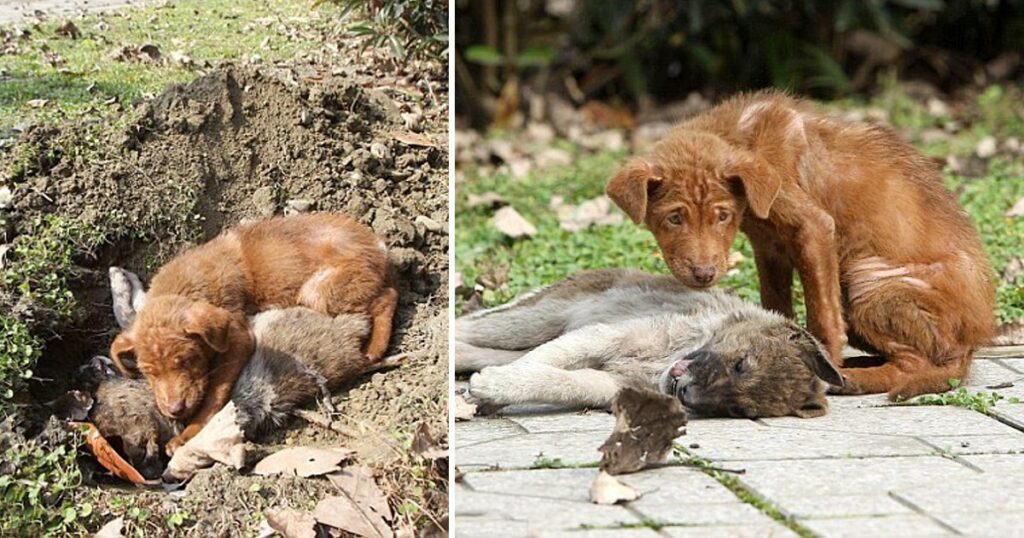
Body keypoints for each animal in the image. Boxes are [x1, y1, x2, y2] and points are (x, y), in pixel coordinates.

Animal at [110, 212, 397, 450]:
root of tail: (378, 245)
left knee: (387, 297)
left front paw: (188, 434)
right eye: (149, 372)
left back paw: (375, 348)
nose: (175, 410)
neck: (186, 285)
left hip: (320, 293)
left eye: (188, 360)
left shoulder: (238, 339)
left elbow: (215, 394)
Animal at [456, 270, 839, 418]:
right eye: (740, 363)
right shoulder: (604, 336)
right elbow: (544, 364)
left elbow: (562, 381)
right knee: (469, 327)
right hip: (533, 319)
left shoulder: (611, 382)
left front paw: (493, 391)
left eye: (737, 410)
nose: (684, 394)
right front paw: (489, 391)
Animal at [606, 89, 991, 397]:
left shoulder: (814, 228)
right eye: (674, 218)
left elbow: (822, 316)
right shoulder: (769, 248)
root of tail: (971, 344)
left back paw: (853, 380)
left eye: (722, 216)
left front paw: (825, 365)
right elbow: (776, 305)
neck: (743, 137)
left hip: (869, 282)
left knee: (916, 363)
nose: (704, 274)